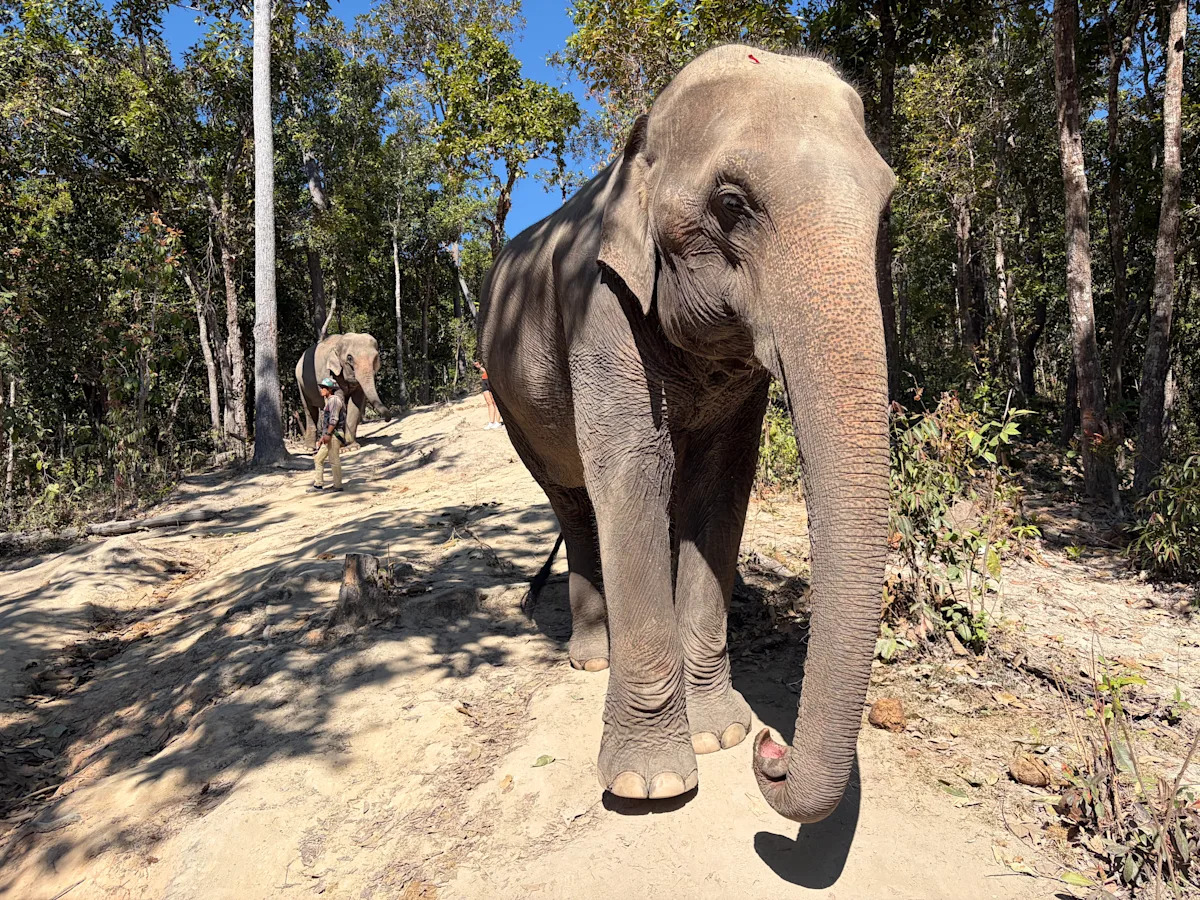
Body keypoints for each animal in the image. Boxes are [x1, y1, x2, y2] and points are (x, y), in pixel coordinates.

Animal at [478, 46, 894, 822]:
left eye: (885, 202)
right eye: (732, 205)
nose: (772, 750)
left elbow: (719, 487)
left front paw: (720, 735)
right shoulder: (600, 308)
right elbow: (632, 472)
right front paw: (653, 783)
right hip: (508, 395)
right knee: (572, 500)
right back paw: (592, 656)